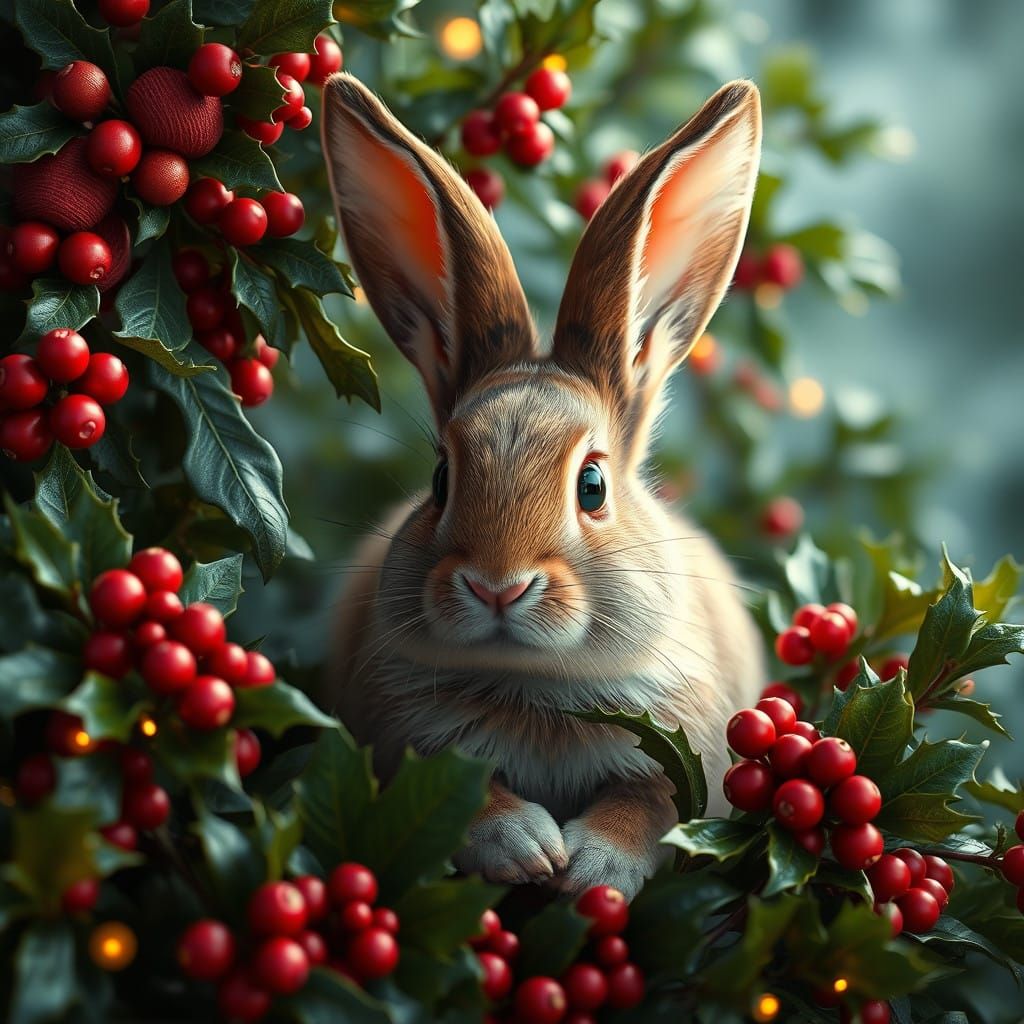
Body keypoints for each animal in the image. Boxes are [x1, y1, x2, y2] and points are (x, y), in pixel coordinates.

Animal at [322, 73, 766, 899]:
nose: (497, 586)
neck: (532, 685)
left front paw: (590, 865)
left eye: (592, 485)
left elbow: (649, 808)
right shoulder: (405, 741)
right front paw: (527, 847)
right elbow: (468, 798)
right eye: (441, 477)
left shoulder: (687, 760)